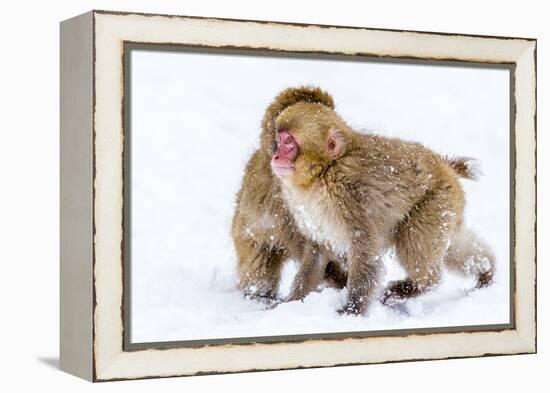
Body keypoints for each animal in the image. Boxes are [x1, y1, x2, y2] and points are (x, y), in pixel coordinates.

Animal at [272, 89, 496, 316]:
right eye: (279, 139)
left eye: (289, 142)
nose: (276, 155)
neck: (322, 173)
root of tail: (444, 164)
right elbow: (317, 253)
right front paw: (291, 303)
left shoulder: (348, 198)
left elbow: (366, 253)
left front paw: (351, 311)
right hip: (448, 209)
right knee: (452, 247)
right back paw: (486, 268)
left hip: (435, 203)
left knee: (417, 246)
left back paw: (416, 285)